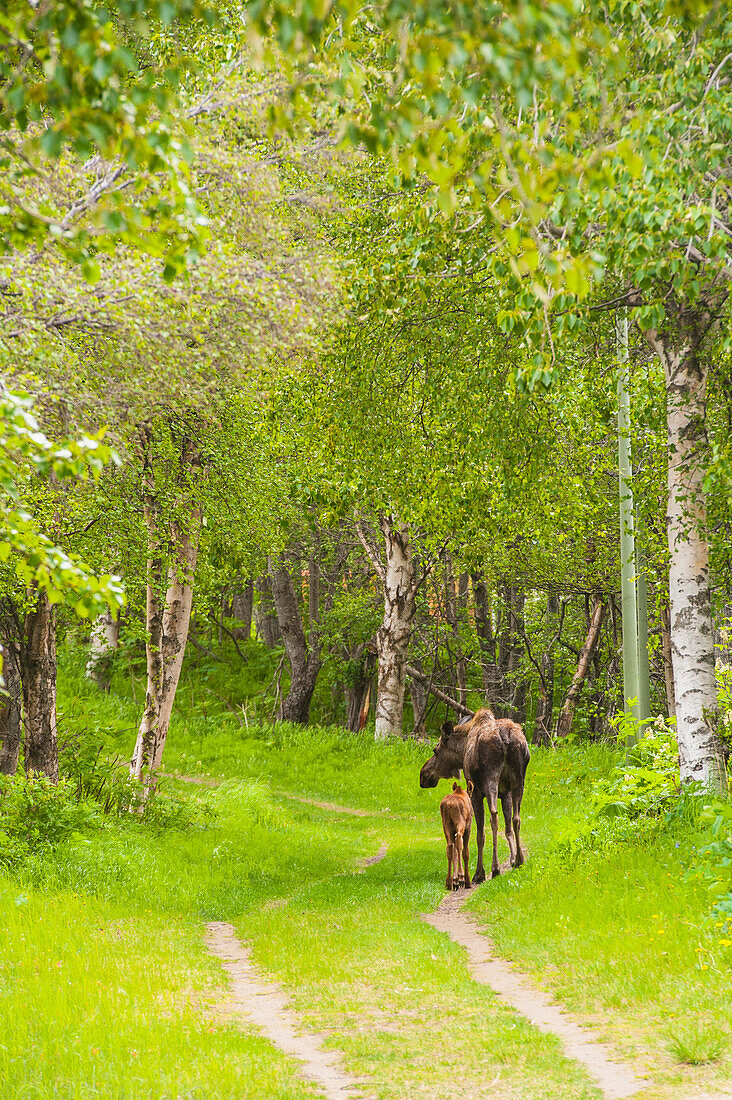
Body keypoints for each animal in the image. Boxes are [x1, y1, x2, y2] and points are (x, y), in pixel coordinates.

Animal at [420, 708, 528, 880]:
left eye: (435, 750)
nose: (422, 775)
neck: (463, 749)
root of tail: (505, 738)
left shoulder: (476, 792)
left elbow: (479, 834)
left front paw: (480, 872)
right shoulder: (506, 793)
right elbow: (508, 828)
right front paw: (512, 859)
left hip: (491, 779)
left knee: (494, 818)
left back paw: (494, 868)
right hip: (519, 780)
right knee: (516, 818)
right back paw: (520, 860)